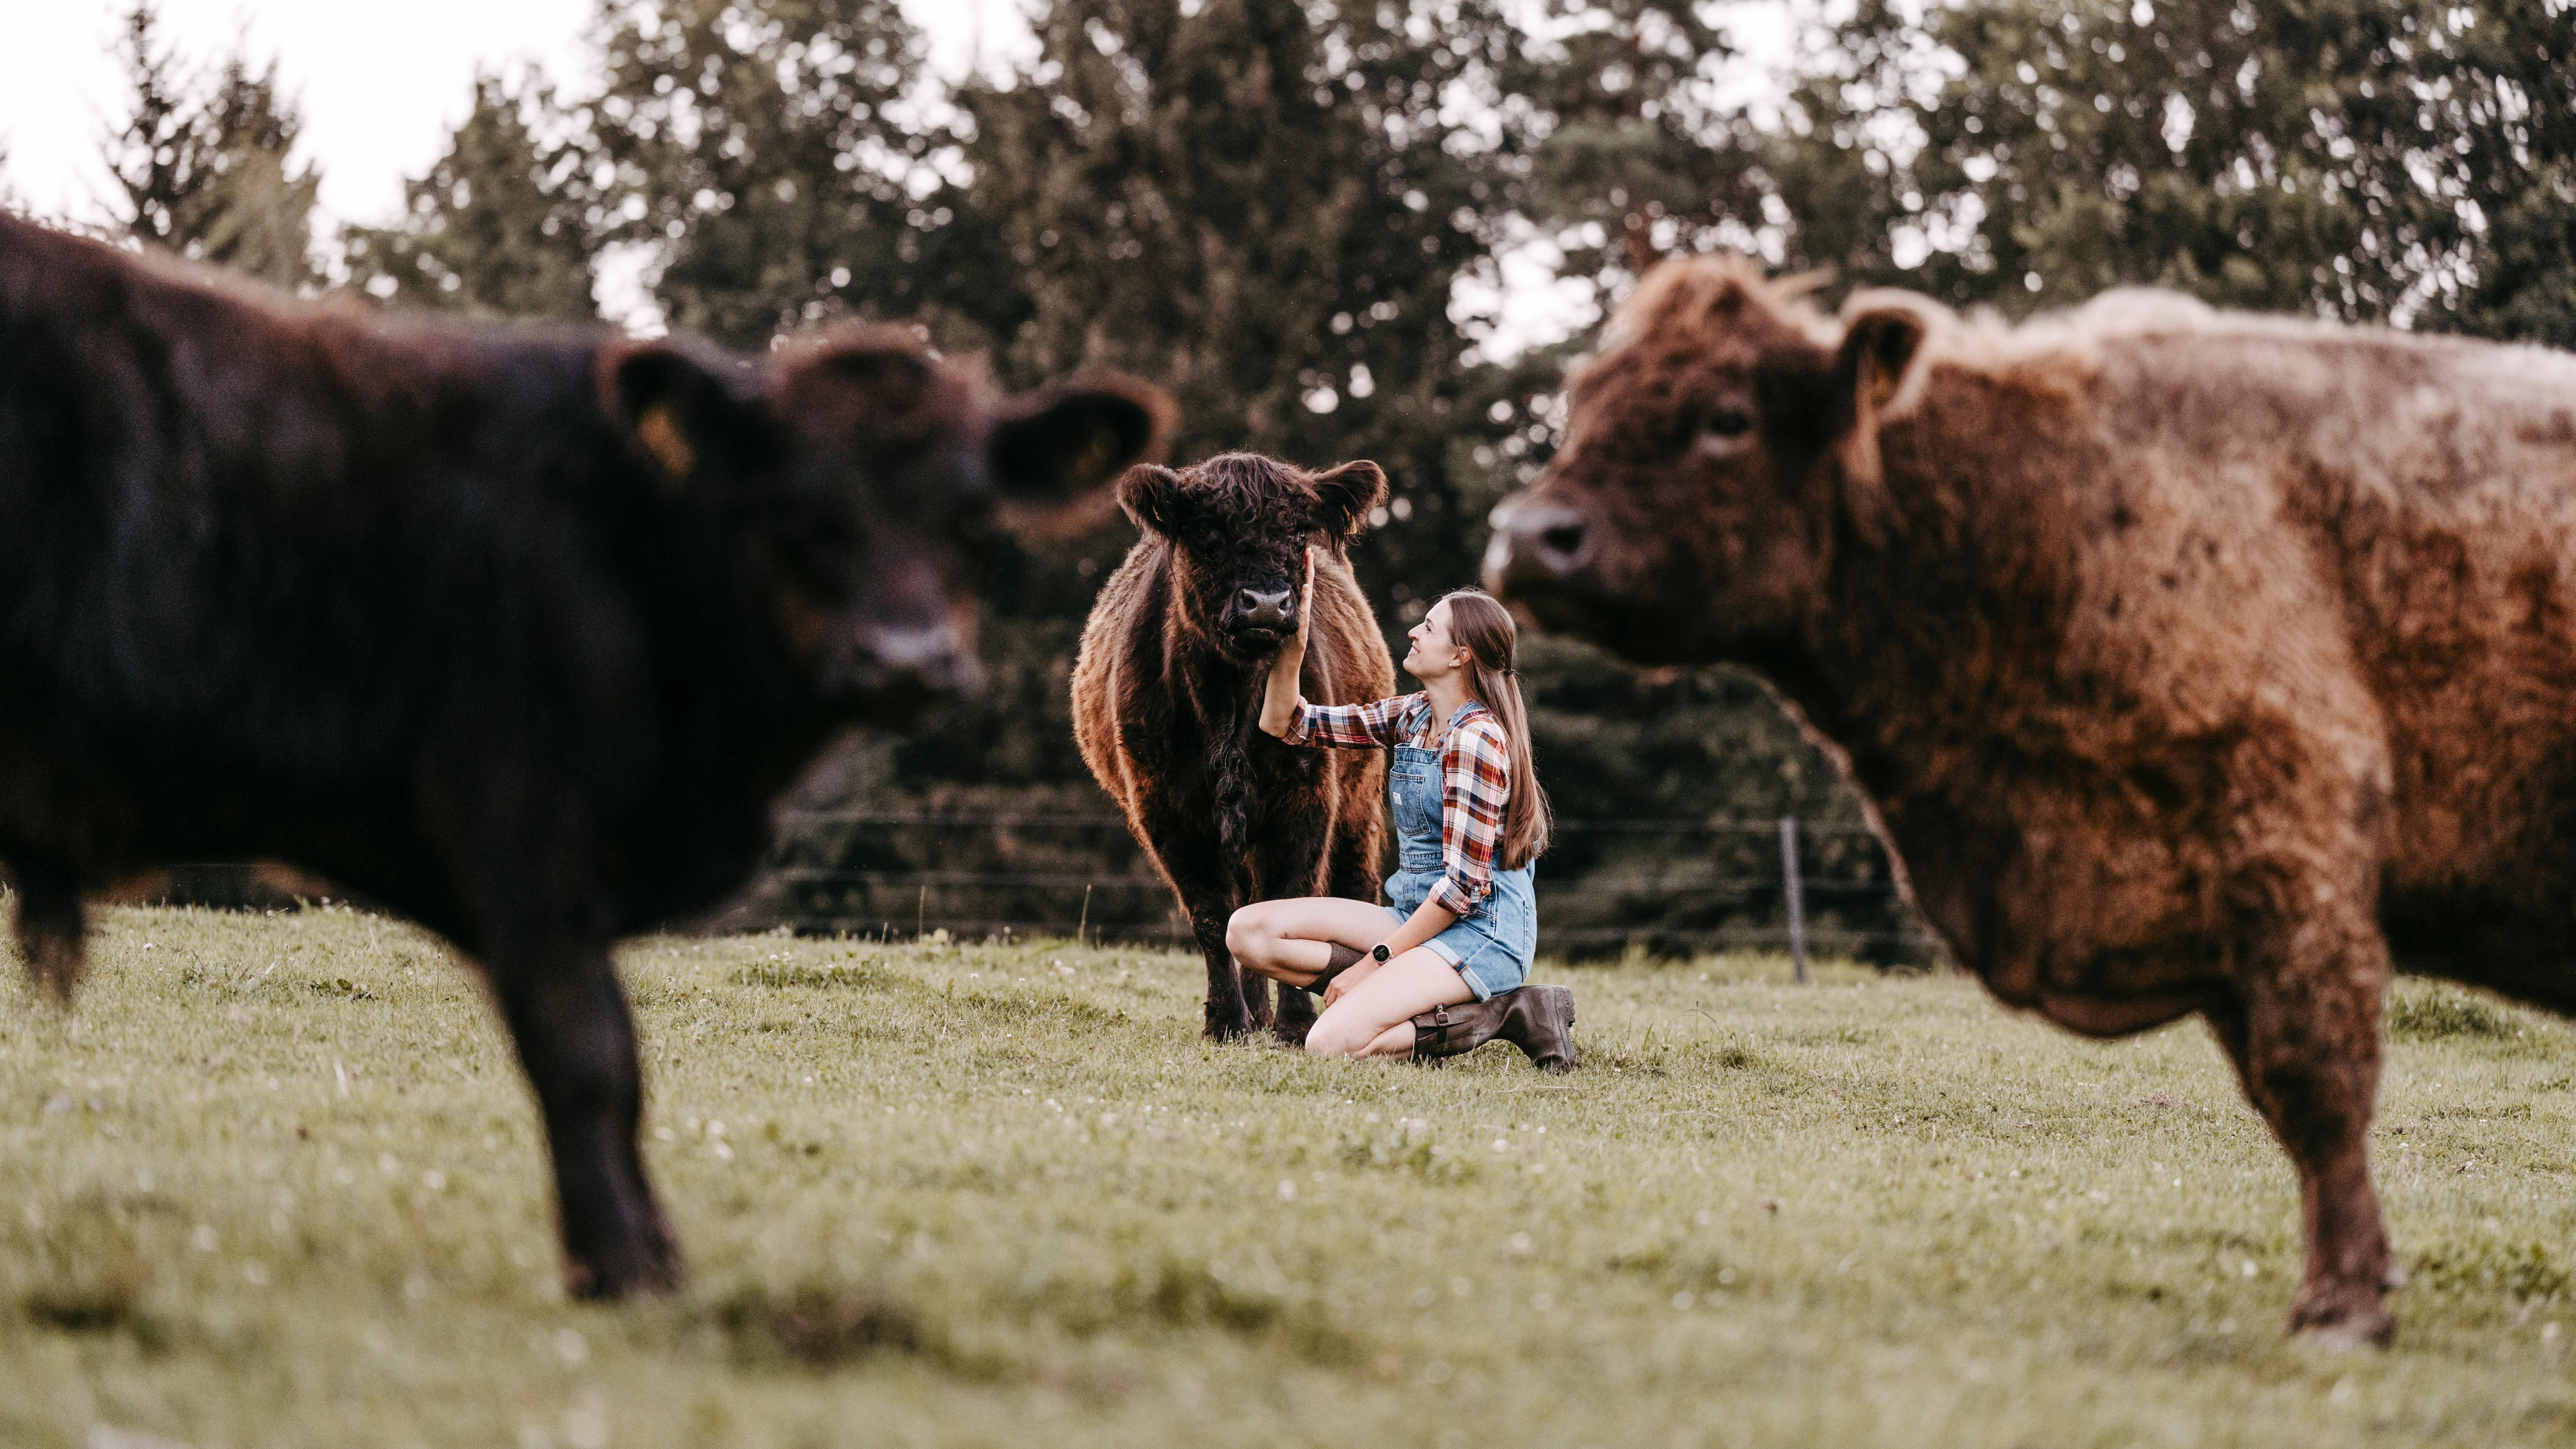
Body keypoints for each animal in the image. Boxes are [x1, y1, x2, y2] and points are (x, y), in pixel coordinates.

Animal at [0, 214, 1169, 1299]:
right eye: (798, 508)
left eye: (975, 516)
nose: (909, 659)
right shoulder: (518, 818)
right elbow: (589, 1052)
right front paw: (623, 1266)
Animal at [1066, 451, 1391, 1036]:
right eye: (1206, 534)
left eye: (1297, 532)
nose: (1266, 604)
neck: (1232, 703)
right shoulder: (1167, 810)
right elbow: (1214, 916)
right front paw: (1226, 1021)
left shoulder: (1306, 798)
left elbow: (1289, 899)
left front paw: (1296, 1024)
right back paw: (1254, 1013)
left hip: (1361, 799)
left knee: (1353, 884)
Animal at [1484, 251, 2576, 1341]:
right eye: (1582, 400)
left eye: (1727, 417)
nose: (1530, 535)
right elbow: (2281, 1093)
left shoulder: (2290, 839)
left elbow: (2318, 1084)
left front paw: (2343, 1303)